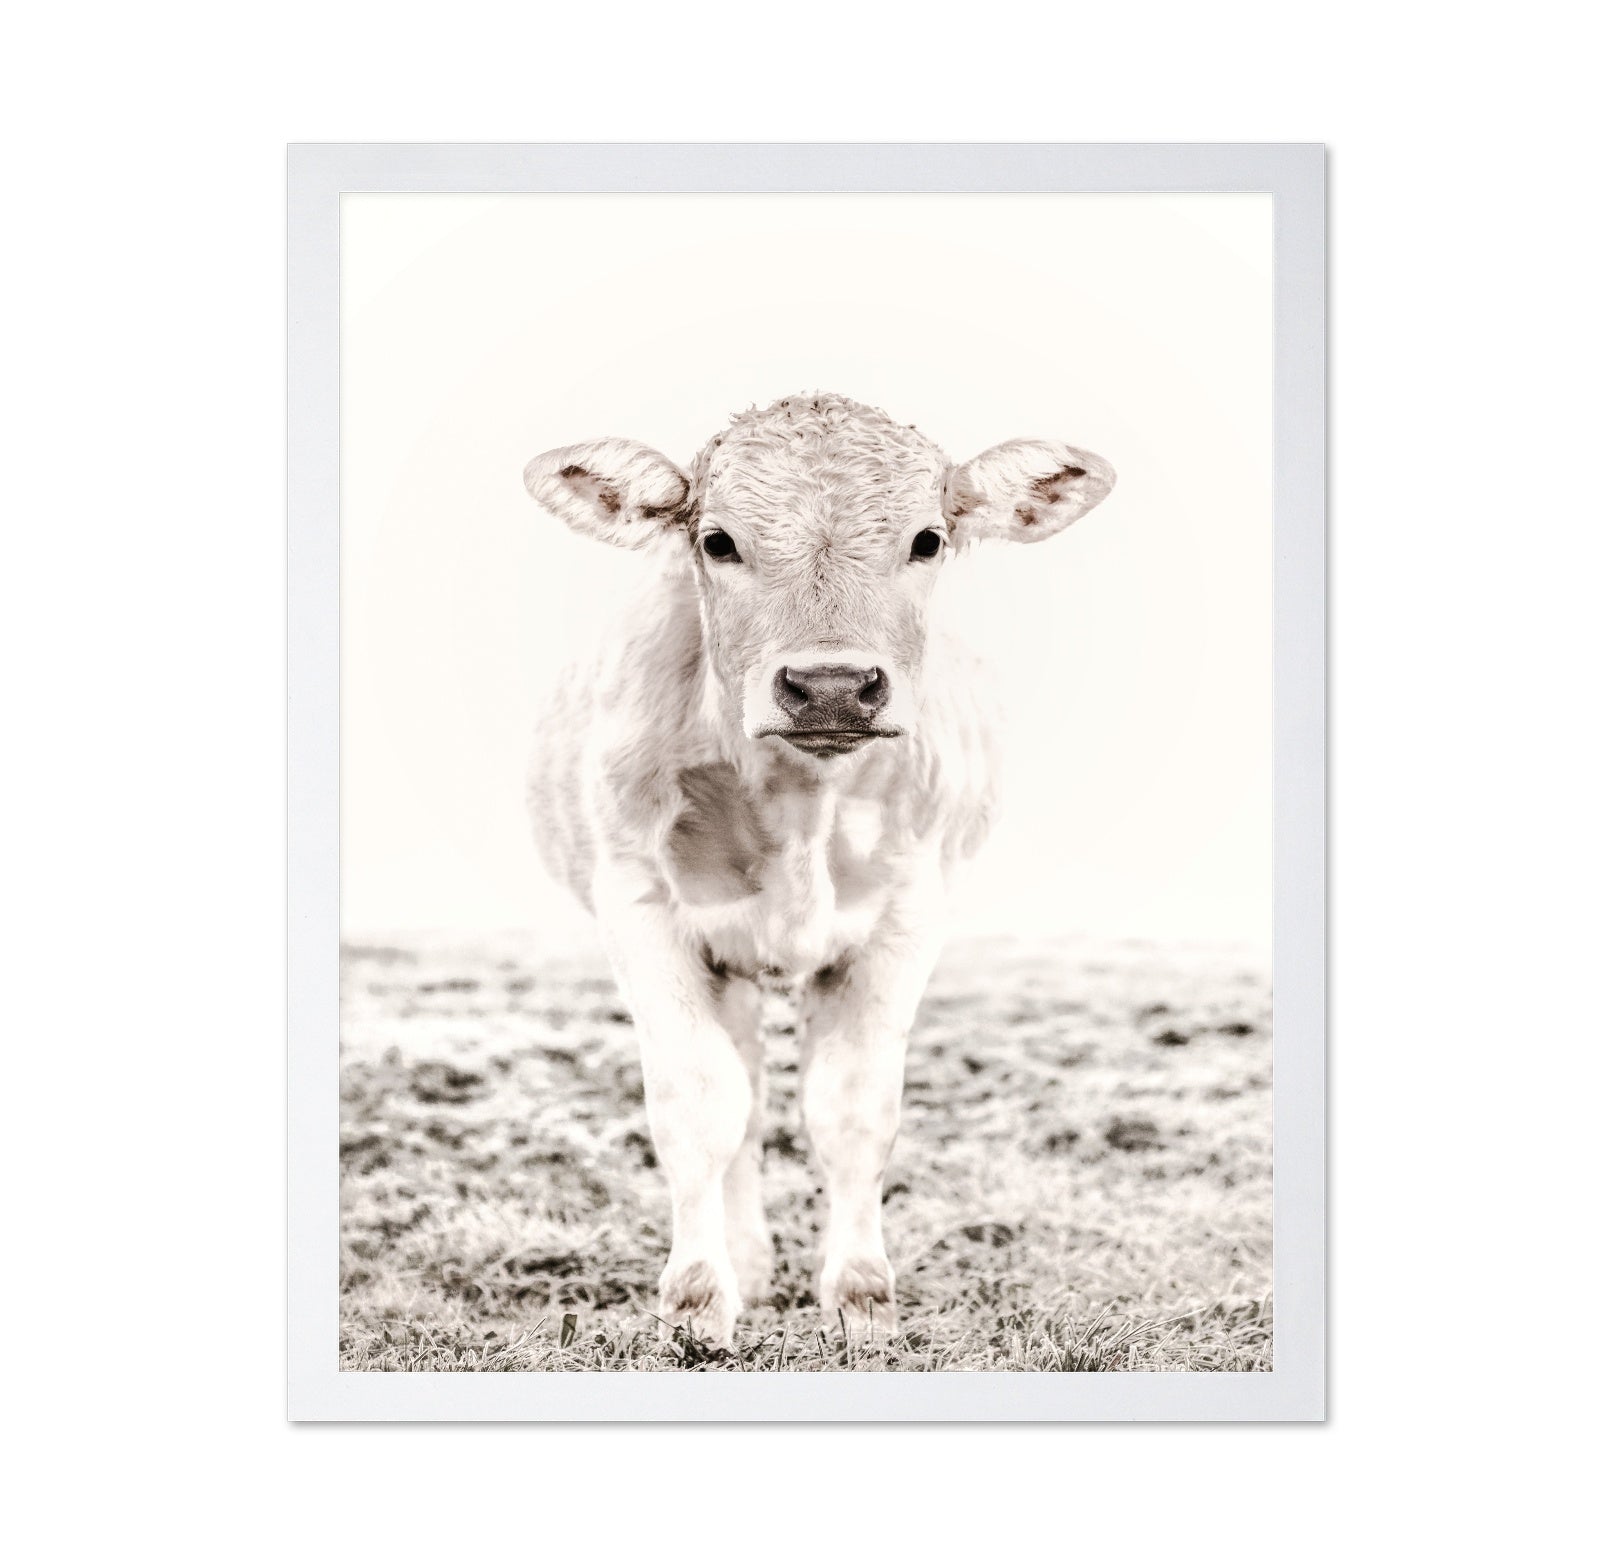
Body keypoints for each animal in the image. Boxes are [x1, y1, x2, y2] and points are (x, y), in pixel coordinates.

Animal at [522, 393, 1115, 1346]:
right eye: (717, 541)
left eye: (928, 539)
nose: (831, 685)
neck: (801, 801)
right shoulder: (641, 906)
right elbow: (699, 1104)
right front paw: (699, 1295)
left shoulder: (908, 915)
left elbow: (853, 1108)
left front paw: (862, 1294)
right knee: (745, 1101)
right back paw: (748, 1261)